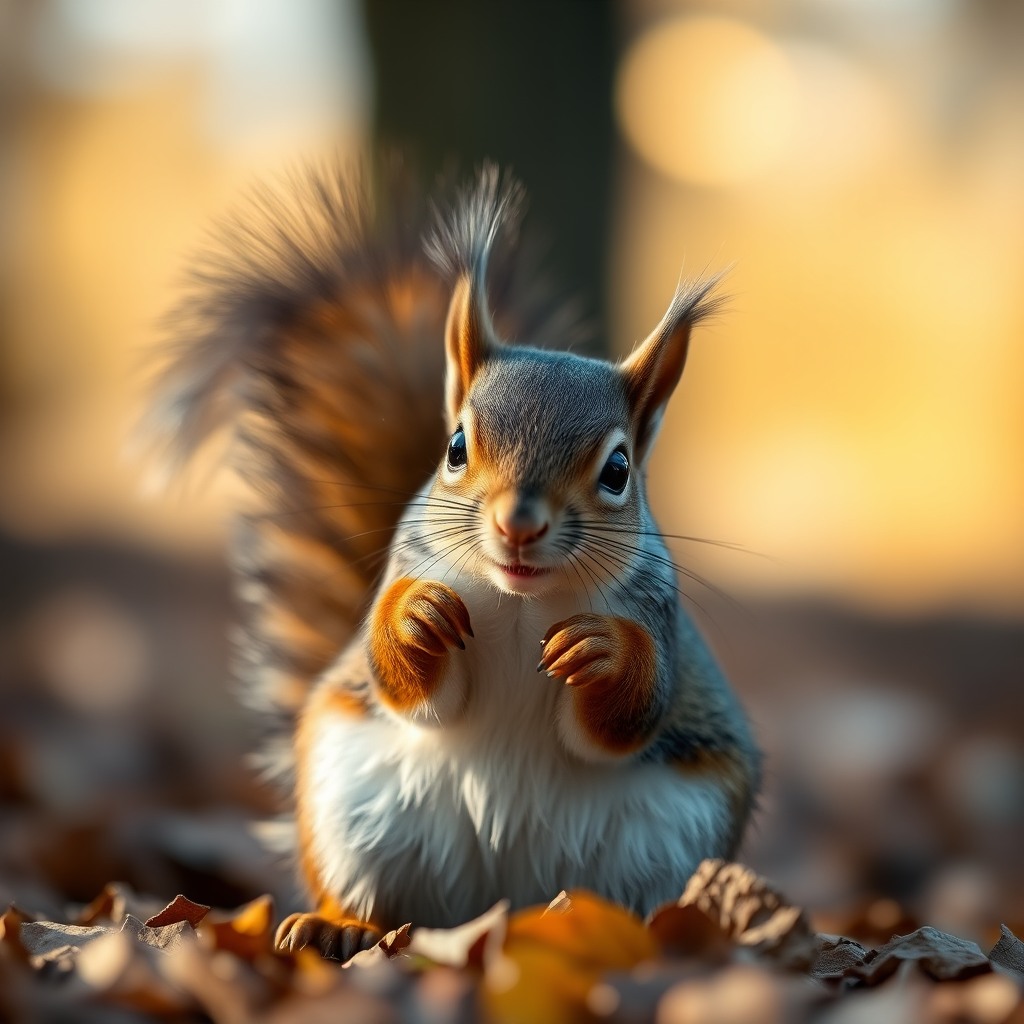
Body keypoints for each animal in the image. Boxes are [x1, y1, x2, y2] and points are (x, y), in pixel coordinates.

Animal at [150, 160, 762, 961]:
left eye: (619, 469)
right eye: (456, 446)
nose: (518, 523)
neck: (522, 602)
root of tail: (490, 904)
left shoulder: (657, 617)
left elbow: (628, 718)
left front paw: (601, 650)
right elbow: (412, 689)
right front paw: (416, 616)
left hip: (671, 834)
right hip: (350, 804)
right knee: (372, 896)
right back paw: (337, 925)